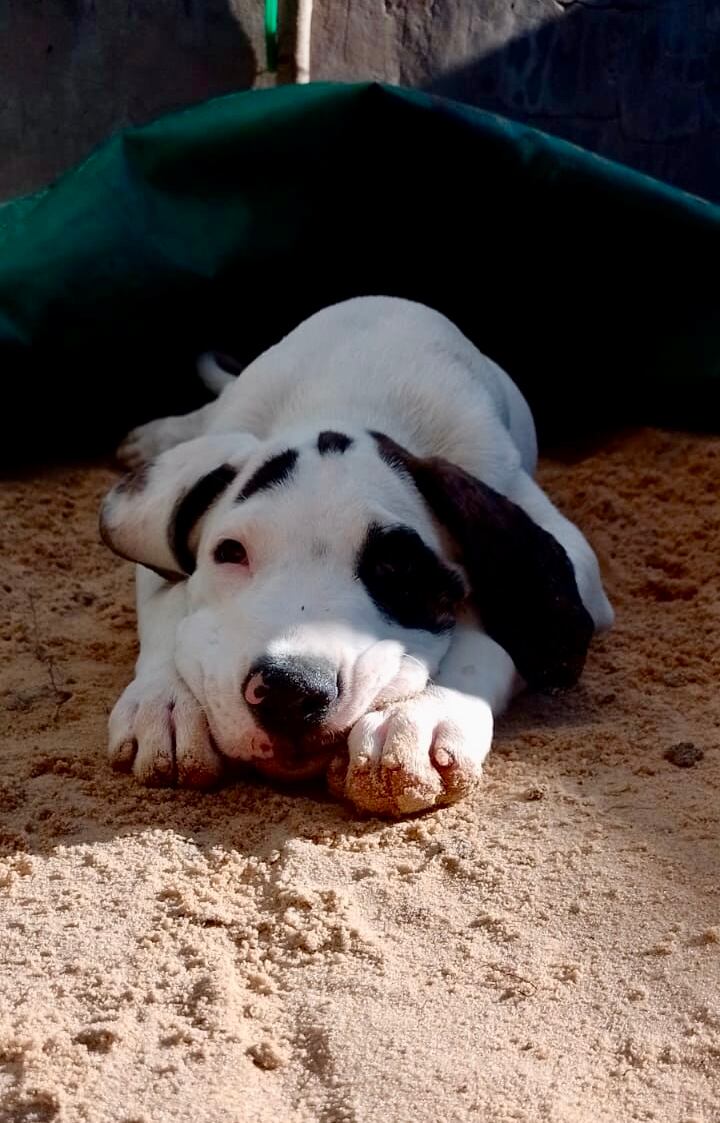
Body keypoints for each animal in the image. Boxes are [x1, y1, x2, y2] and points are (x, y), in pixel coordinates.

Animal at [98, 294, 611, 813]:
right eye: (231, 552)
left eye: (396, 566)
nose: (289, 691)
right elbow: (171, 608)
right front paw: (165, 701)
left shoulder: (572, 565)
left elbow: (493, 630)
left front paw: (419, 714)